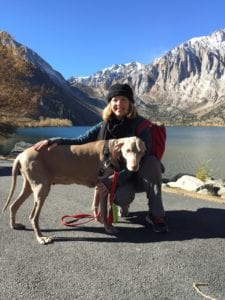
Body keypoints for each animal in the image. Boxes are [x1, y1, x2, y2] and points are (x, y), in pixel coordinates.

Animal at [2, 137, 147, 245]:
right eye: (128, 150)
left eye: (140, 152)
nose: (134, 167)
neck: (111, 150)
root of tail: (21, 154)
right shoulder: (103, 187)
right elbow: (105, 210)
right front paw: (108, 227)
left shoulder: (100, 186)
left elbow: (98, 206)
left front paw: (99, 219)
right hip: (42, 188)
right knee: (33, 216)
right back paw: (41, 238)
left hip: (30, 185)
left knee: (13, 205)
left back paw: (14, 225)